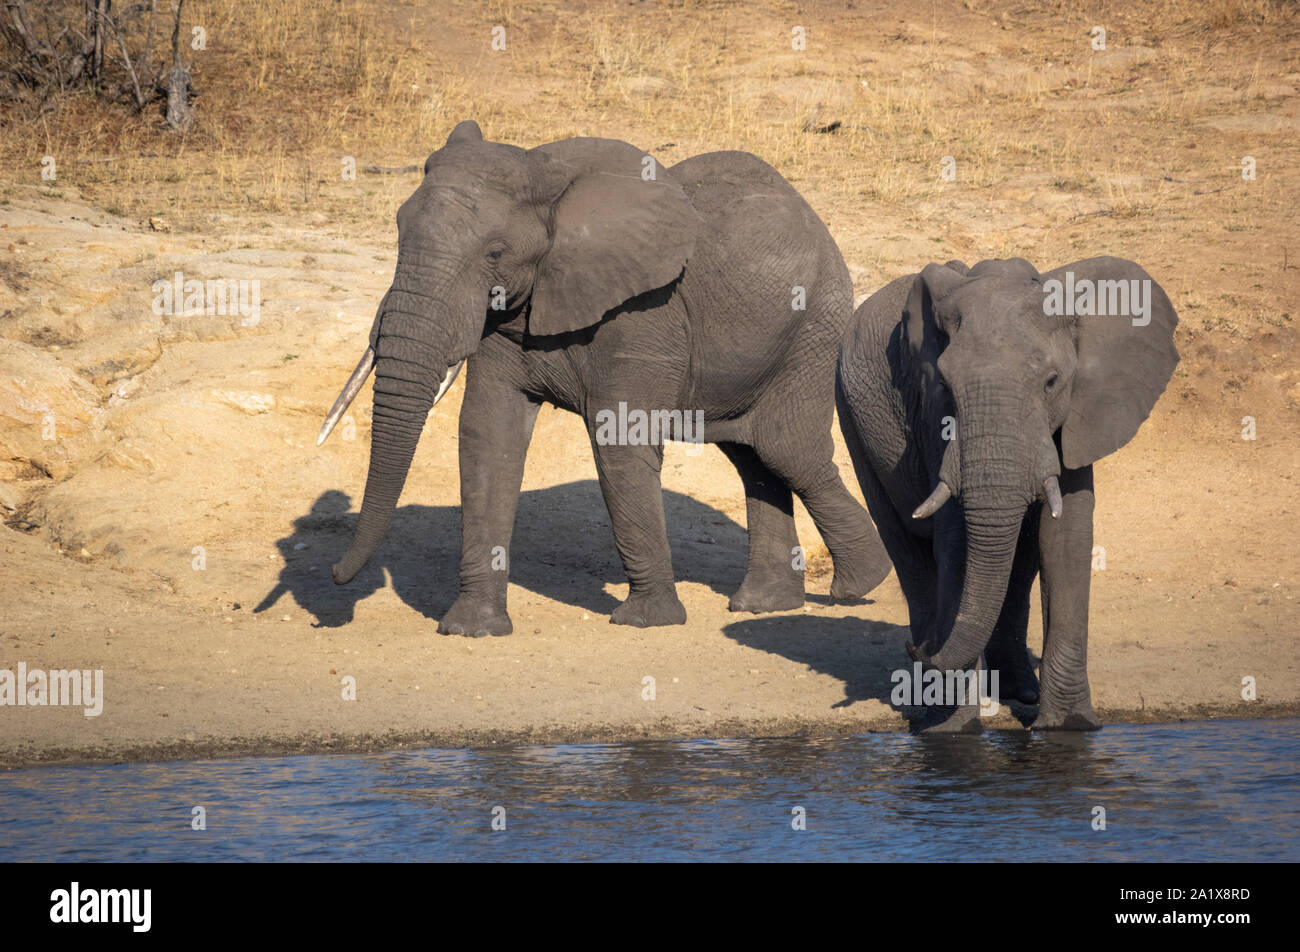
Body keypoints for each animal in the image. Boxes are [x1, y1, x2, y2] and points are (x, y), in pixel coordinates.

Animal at [319, 120, 899, 639]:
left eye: (495, 253)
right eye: (398, 233)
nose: (335, 576)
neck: (542, 172)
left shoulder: (644, 310)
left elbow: (619, 439)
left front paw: (645, 621)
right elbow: (488, 434)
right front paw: (470, 630)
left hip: (816, 321)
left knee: (784, 447)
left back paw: (859, 585)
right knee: (751, 455)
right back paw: (763, 605)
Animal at [837, 256, 1185, 733]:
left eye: (1052, 382)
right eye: (945, 386)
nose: (922, 650)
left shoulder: (1076, 415)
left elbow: (1066, 538)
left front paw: (1069, 727)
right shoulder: (933, 422)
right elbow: (956, 544)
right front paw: (953, 732)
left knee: (1018, 562)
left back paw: (1019, 691)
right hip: (850, 418)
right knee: (908, 551)